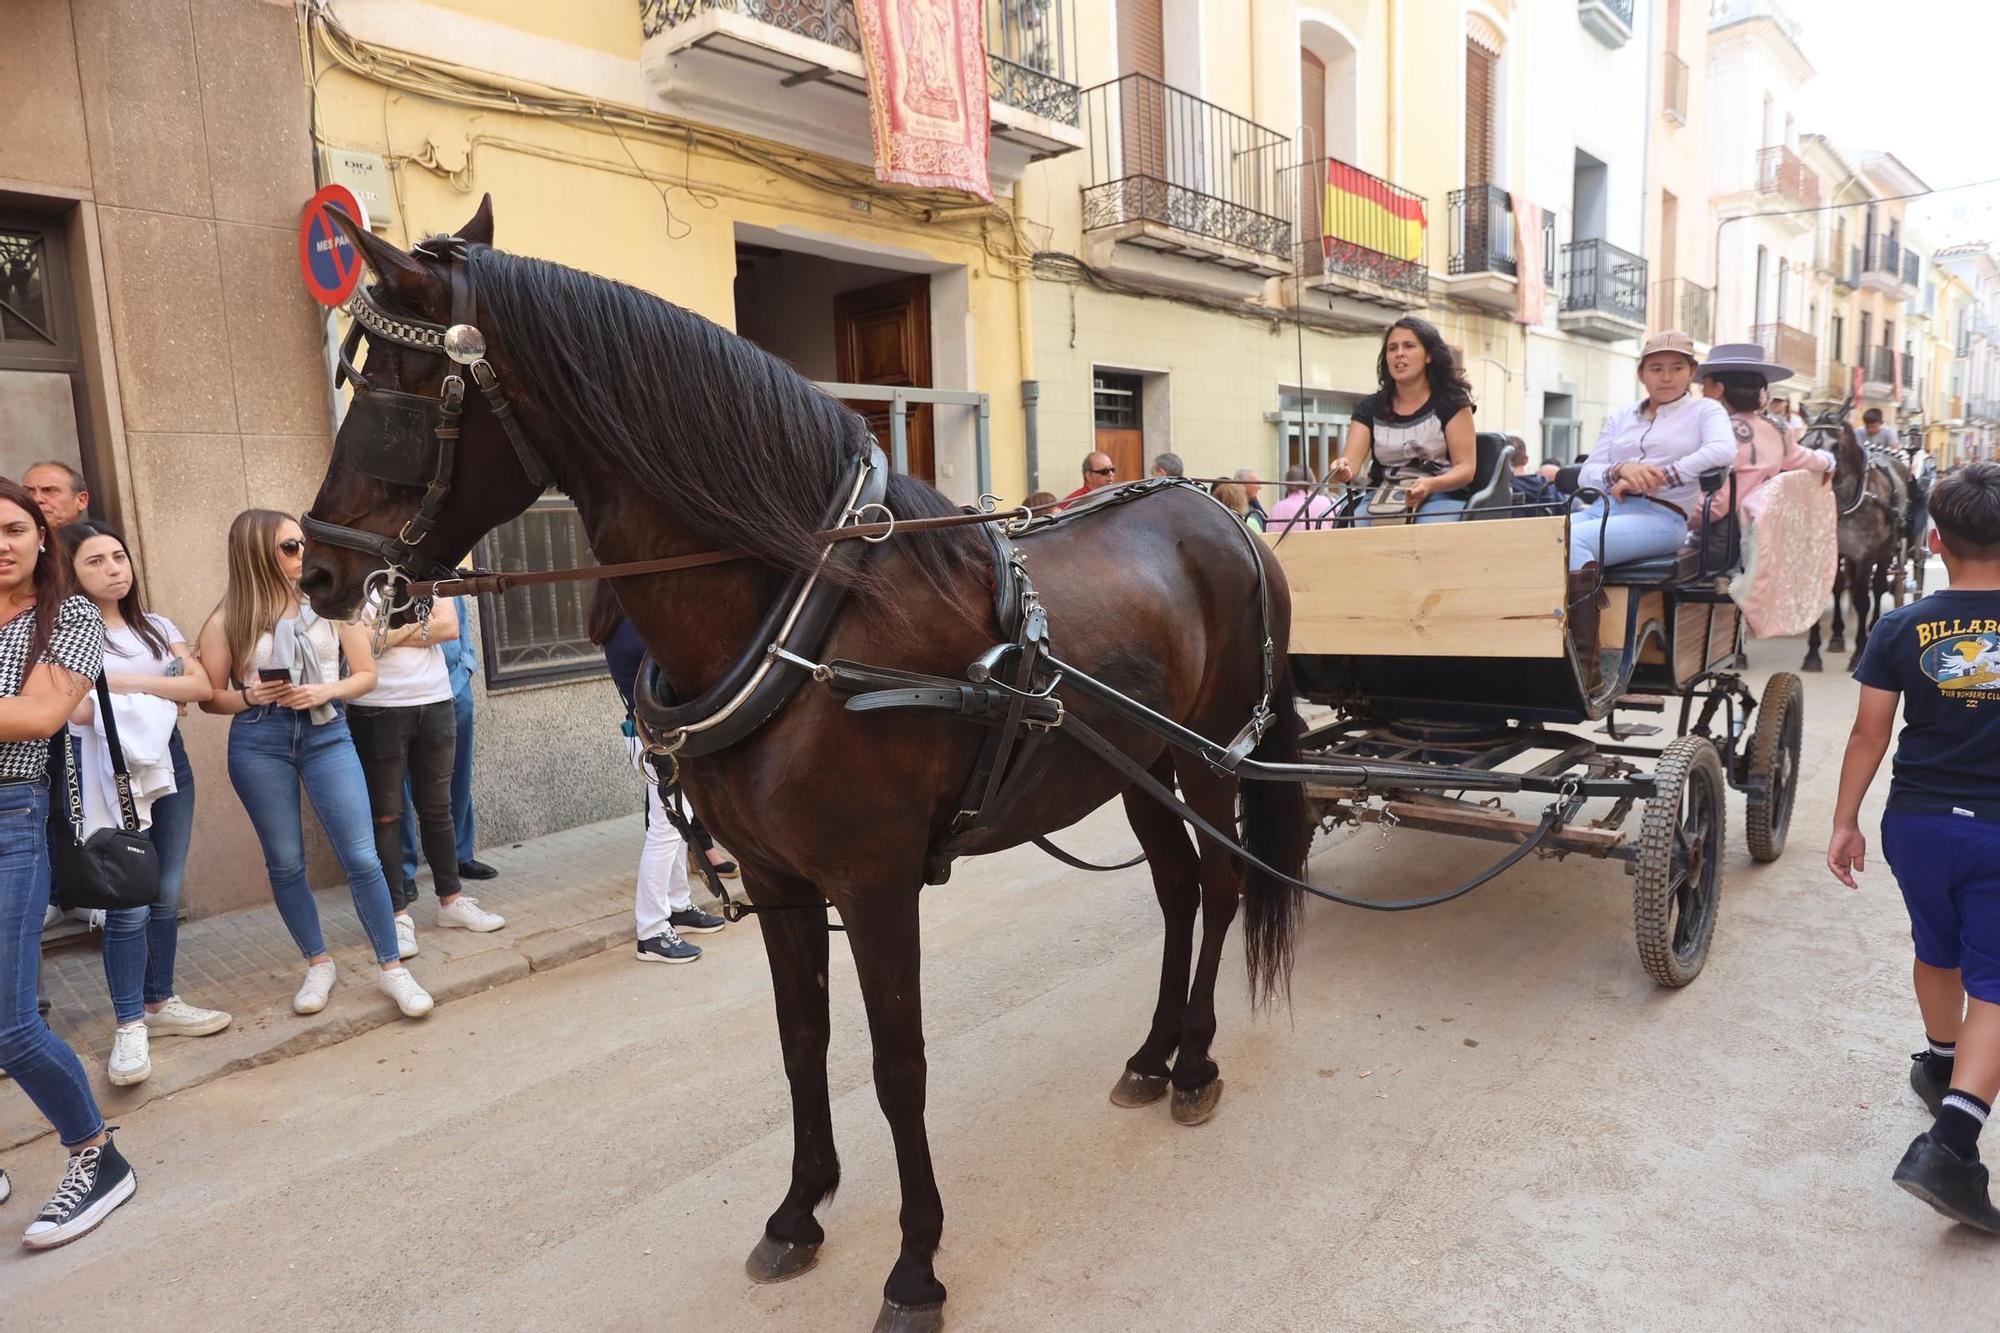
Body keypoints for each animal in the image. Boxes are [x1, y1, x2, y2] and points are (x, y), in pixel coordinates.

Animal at [300, 200, 1312, 1328]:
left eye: (392, 398)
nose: (318, 569)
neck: (802, 614)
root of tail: (1219, 513)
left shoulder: (873, 883)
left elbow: (897, 1062)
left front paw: (915, 1263)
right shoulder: (781, 880)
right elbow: (800, 1043)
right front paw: (798, 1211)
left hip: (1208, 760)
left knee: (1221, 888)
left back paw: (1195, 1059)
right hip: (1134, 767)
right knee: (1176, 889)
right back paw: (1151, 1051)